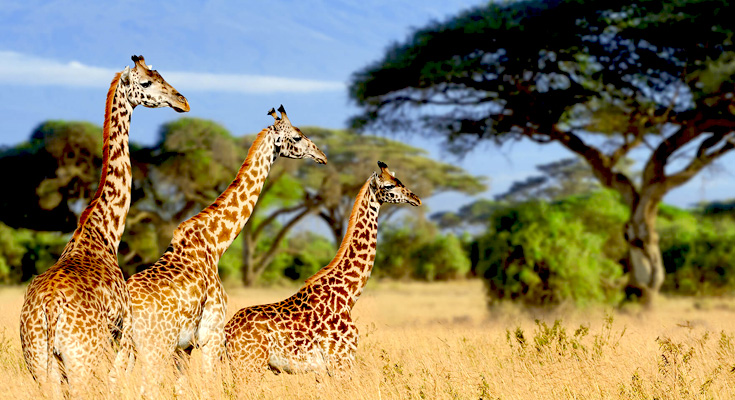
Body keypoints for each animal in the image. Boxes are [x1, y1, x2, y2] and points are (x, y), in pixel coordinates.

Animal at [20, 54, 190, 396]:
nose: (183, 101)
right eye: (147, 82)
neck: (104, 232)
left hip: (38, 362)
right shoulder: (123, 333)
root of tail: (48, 309)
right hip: (81, 359)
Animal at [126, 104, 328, 392]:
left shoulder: (185, 346)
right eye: (297, 137)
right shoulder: (211, 335)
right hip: (154, 347)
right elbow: (208, 385)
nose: (322, 156)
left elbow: (181, 387)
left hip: (125, 348)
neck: (215, 243)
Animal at [224, 160, 420, 382]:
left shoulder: (325, 370)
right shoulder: (341, 361)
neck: (349, 295)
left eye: (399, 180)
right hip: (249, 365)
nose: (416, 198)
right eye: (388, 186)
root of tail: (226, 332)